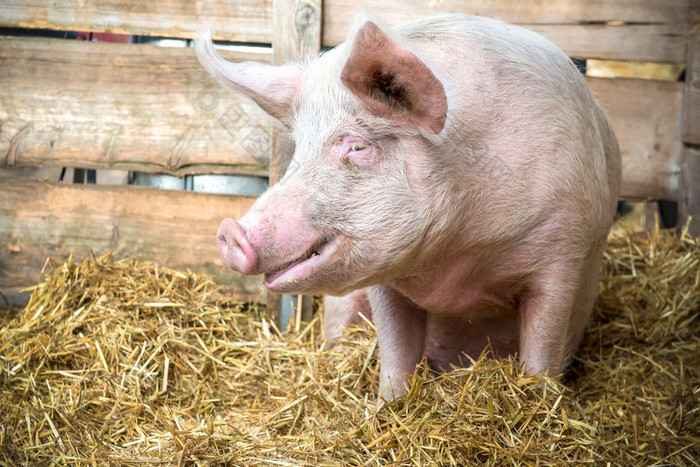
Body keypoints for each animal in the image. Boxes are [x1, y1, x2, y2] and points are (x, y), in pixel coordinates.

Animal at [196, 14, 616, 402]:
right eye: (300, 149)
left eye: (358, 146)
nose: (229, 232)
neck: (456, 266)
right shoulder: (381, 276)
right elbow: (395, 350)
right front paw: (388, 406)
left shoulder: (564, 250)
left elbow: (542, 350)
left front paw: (538, 402)